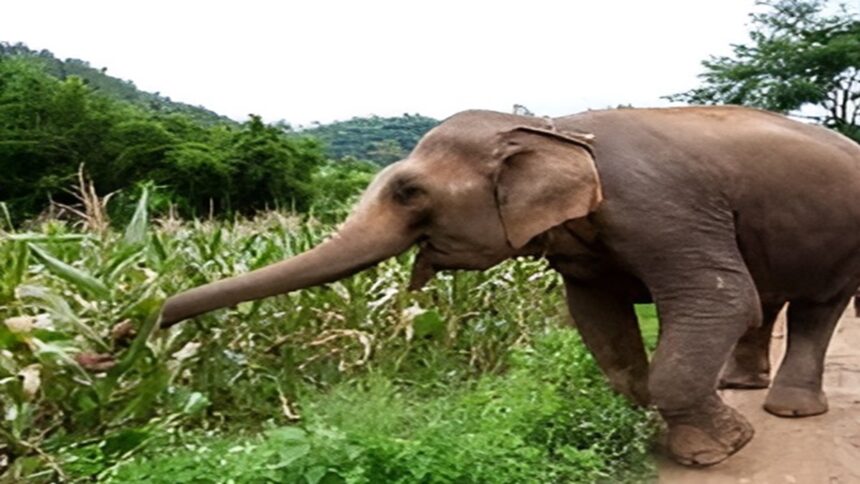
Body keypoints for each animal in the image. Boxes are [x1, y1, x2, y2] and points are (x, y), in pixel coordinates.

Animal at [160, 106, 860, 467]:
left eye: (409, 191)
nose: (148, 322)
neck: (554, 125)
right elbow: (597, 317)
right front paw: (649, 429)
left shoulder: (663, 206)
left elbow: (720, 297)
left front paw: (717, 451)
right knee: (770, 298)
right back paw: (741, 387)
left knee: (815, 307)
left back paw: (787, 411)